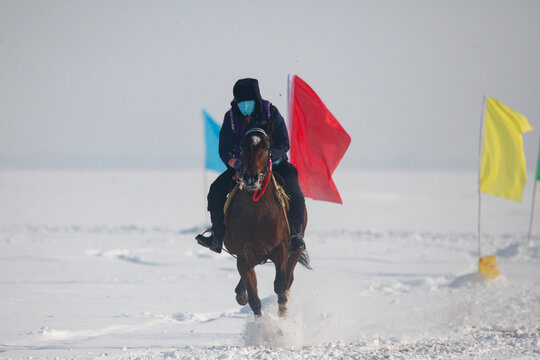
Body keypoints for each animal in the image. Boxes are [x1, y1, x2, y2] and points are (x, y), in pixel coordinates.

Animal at [223, 127, 308, 318]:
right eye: (242, 146)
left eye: (266, 146)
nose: (250, 178)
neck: (257, 216)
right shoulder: (244, 257)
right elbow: (254, 298)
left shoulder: (281, 251)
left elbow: (281, 288)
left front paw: (282, 321)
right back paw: (241, 292)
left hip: (295, 250)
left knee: (289, 279)